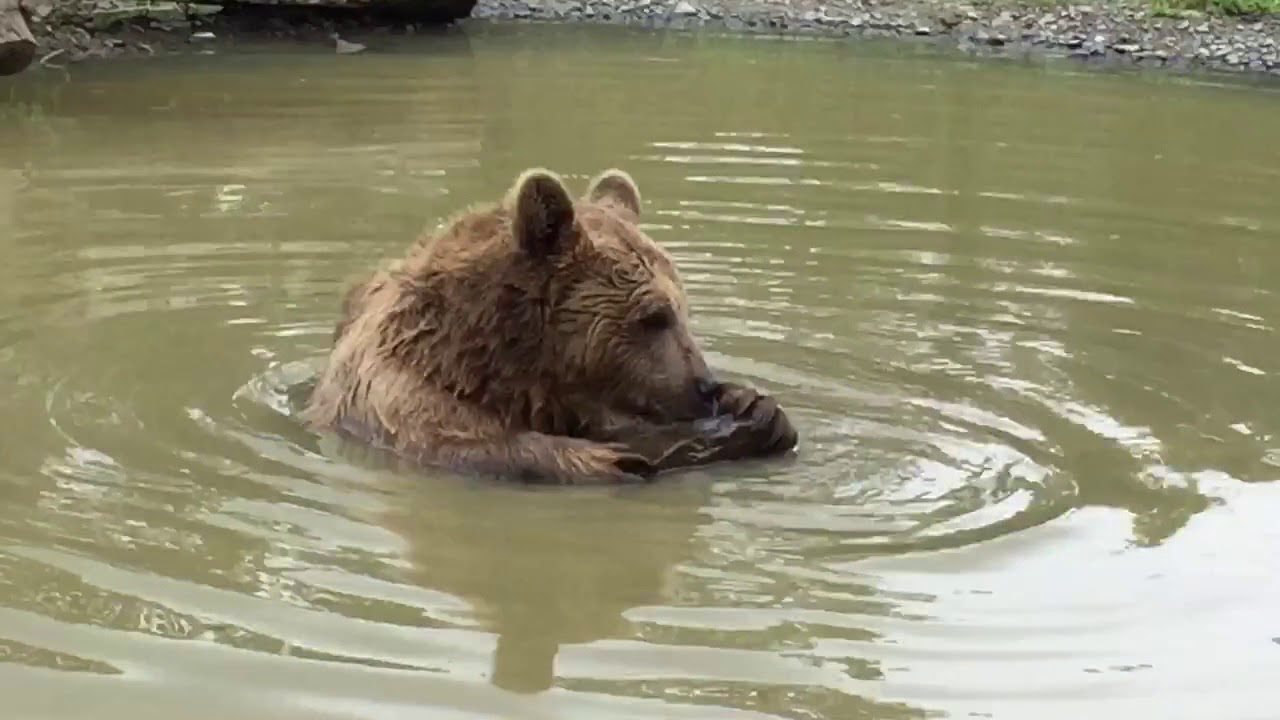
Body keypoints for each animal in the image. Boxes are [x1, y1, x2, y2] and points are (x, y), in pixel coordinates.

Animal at [302, 167, 797, 484]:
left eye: (684, 309)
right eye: (655, 316)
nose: (704, 386)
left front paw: (756, 407)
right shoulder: (412, 413)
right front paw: (656, 453)